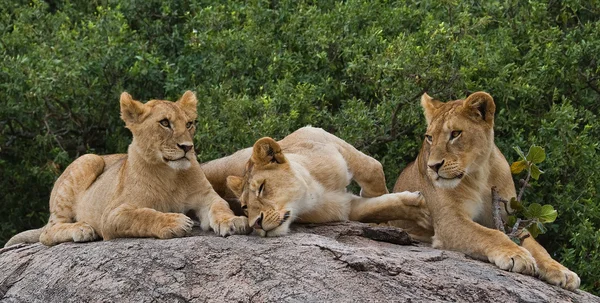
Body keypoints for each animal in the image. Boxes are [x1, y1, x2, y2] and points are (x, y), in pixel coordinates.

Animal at [4, 90, 248, 247]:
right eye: (165, 123)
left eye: (189, 124)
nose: (187, 147)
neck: (170, 174)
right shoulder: (112, 214)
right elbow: (143, 215)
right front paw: (174, 221)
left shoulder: (206, 197)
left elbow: (220, 206)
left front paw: (233, 221)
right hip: (89, 159)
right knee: (47, 232)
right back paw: (82, 229)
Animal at [200, 127, 432, 239]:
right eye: (245, 207)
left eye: (262, 188)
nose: (256, 223)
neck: (311, 191)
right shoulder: (346, 208)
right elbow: (378, 208)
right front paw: (419, 212)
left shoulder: (320, 135)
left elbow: (374, 171)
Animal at [390, 91, 580, 290]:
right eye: (429, 137)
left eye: (455, 133)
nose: (433, 166)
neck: (479, 175)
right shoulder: (449, 221)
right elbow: (490, 234)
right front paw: (516, 255)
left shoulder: (507, 218)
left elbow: (535, 245)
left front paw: (561, 270)